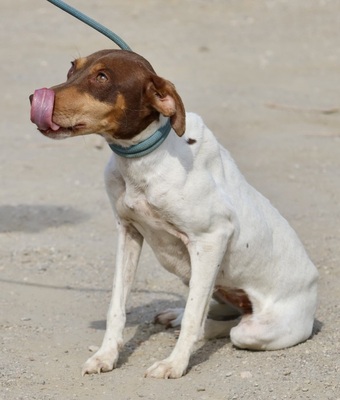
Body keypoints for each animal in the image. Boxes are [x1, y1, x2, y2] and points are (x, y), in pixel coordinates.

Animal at [29, 49, 318, 378]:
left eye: (102, 77)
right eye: (71, 68)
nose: (34, 98)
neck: (145, 159)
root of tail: (314, 288)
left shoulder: (212, 239)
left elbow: (195, 317)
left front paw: (175, 364)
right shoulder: (128, 231)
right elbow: (117, 306)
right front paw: (106, 356)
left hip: (254, 329)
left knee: (225, 325)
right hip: (196, 275)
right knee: (215, 309)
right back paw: (177, 316)